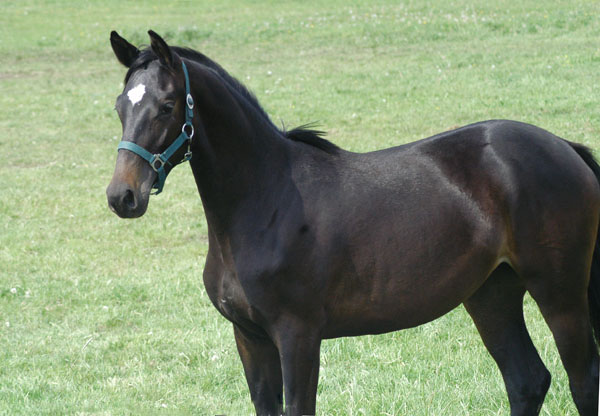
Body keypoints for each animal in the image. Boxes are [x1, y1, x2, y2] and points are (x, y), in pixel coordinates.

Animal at [105, 31, 596, 416]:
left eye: (167, 106)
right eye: (119, 106)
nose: (122, 197)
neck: (265, 200)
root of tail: (565, 146)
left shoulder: (298, 336)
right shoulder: (249, 337)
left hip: (560, 293)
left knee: (582, 380)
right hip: (492, 294)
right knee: (527, 381)